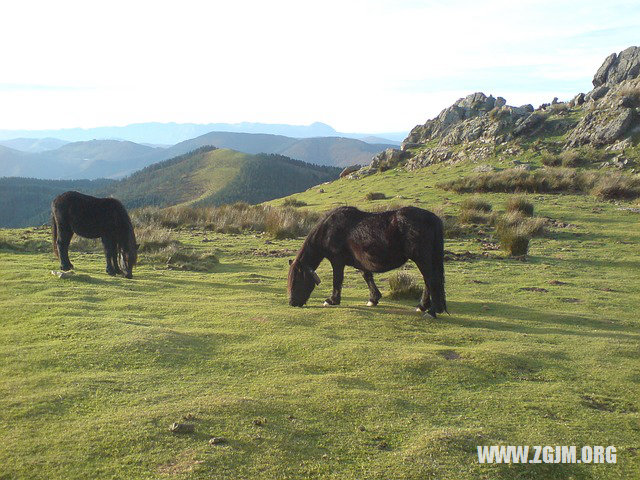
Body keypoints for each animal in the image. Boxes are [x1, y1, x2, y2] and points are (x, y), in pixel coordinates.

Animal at [288, 204, 448, 316]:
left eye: (297, 280)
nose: (292, 303)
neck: (329, 230)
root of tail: (433, 219)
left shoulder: (337, 261)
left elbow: (337, 280)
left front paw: (332, 300)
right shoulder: (361, 260)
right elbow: (367, 276)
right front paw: (373, 299)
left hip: (422, 258)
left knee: (431, 280)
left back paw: (430, 310)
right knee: (430, 281)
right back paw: (426, 307)